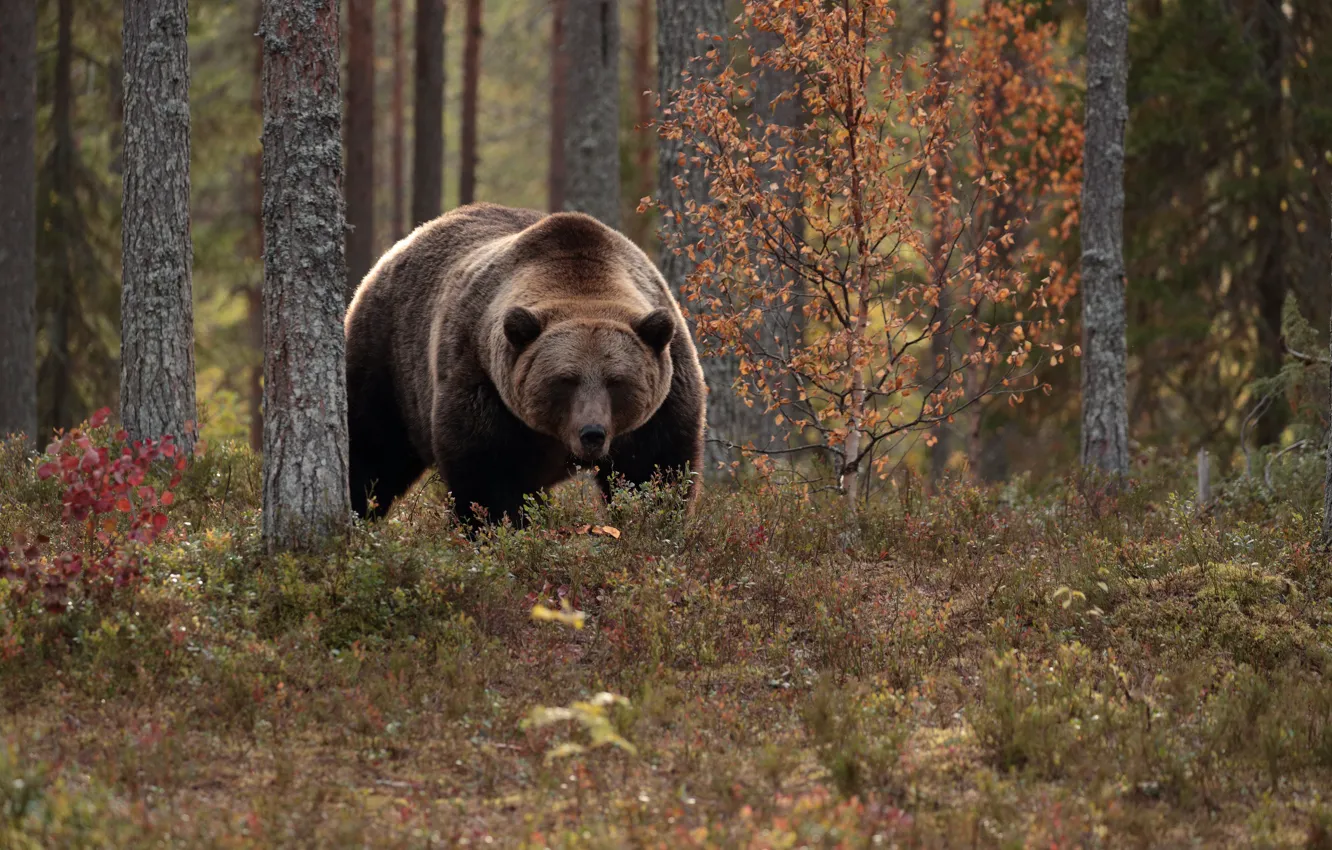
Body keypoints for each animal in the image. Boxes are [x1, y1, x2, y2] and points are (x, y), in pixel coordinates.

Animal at [343, 203, 708, 530]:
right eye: (565, 379)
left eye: (616, 381)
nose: (592, 433)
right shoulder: (482, 379)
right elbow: (488, 476)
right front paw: (499, 529)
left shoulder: (666, 391)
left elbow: (654, 469)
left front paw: (653, 520)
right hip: (389, 359)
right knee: (372, 446)